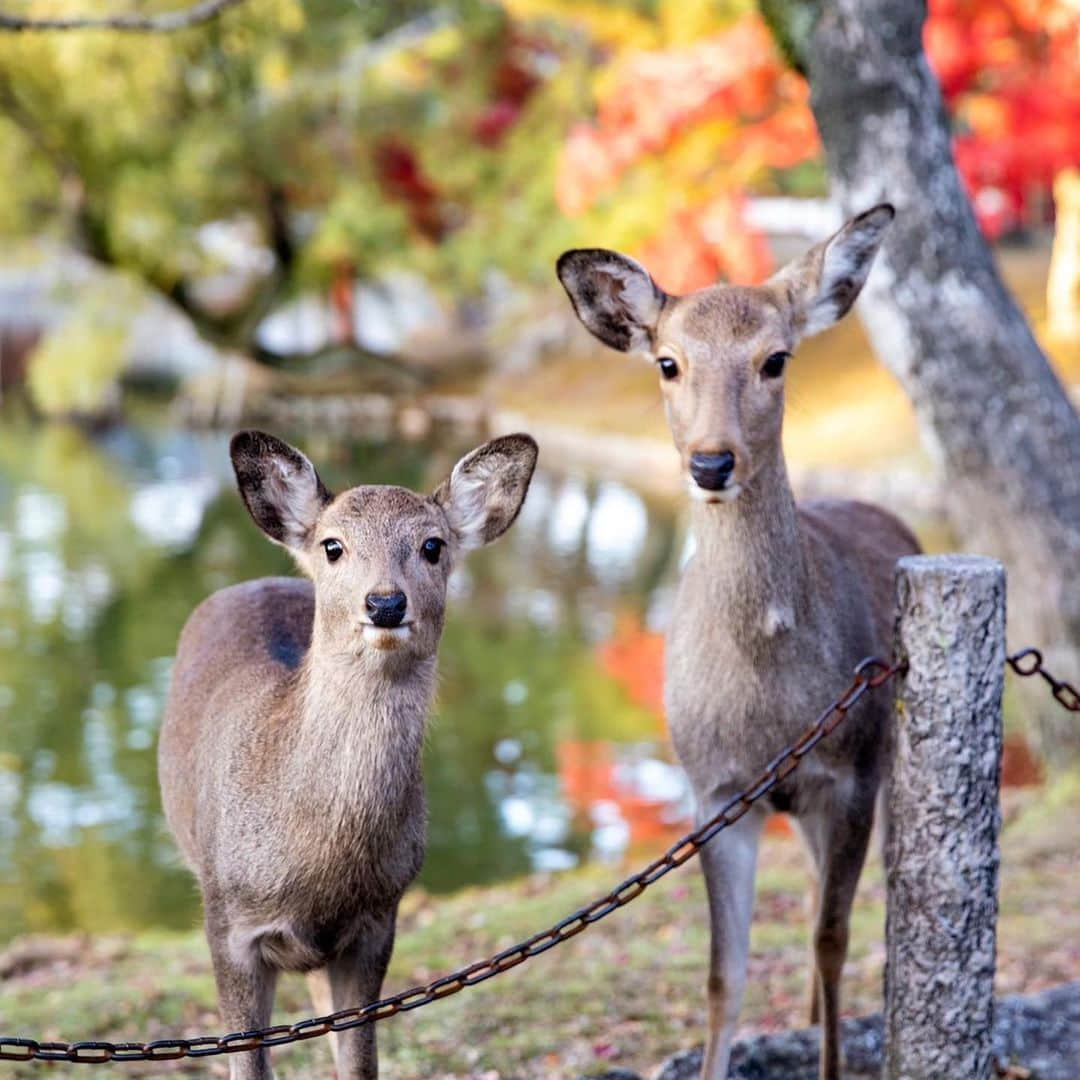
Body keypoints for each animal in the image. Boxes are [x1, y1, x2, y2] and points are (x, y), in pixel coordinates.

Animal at [157, 429, 537, 1080]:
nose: (385, 603)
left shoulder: (378, 919)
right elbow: (246, 1062)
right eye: (334, 545)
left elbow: (358, 1060)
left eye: (433, 545)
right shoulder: (225, 918)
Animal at [557, 204, 920, 1080]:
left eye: (775, 359)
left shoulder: (850, 772)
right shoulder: (716, 790)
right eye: (667, 362)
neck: (767, 707)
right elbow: (725, 973)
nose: (711, 462)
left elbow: (830, 941)